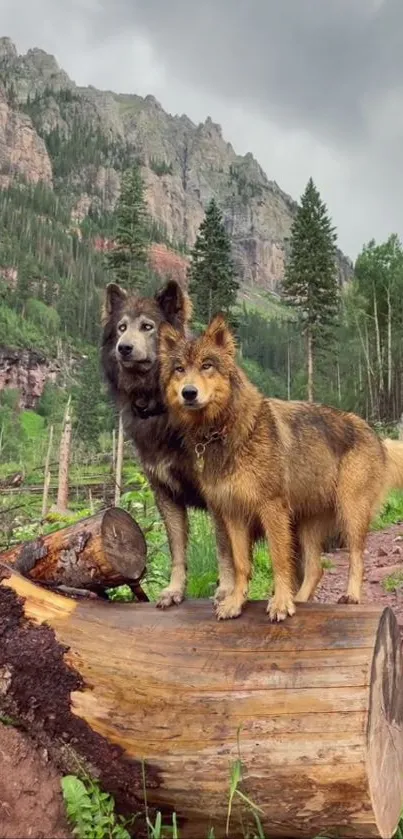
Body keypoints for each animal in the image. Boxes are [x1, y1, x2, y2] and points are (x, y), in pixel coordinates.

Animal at [100, 284, 237, 612]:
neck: (160, 405)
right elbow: (176, 549)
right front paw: (174, 590)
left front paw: (226, 590)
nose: (123, 348)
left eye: (147, 327)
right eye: (121, 327)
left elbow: (224, 547)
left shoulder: (217, 494)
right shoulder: (164, 492)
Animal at [159, 316, 403, 624]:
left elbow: (278, 560)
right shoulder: (233, 514)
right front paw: (236, 603)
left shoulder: (271, 509)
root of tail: (376, 435)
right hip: (306, 524)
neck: (219, 432)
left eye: (207, 365)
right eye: (179, 369)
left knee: (358, 556)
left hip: (350, 512)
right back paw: (302, 600)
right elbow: (241, 564)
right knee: (315, 568)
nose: (188, 393)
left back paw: (351, 596)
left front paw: (281, 604)